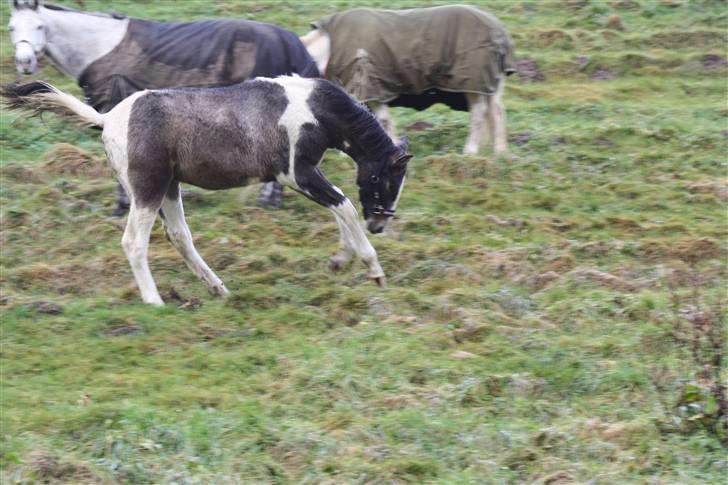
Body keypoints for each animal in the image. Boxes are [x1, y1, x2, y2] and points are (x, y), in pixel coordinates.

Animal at [7, 0, 318, 212]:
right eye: (11, 28)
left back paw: (270, 200)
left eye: (39, 26)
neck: (99, 47)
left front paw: (122, 205)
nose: (24, 62)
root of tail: (288, 40)